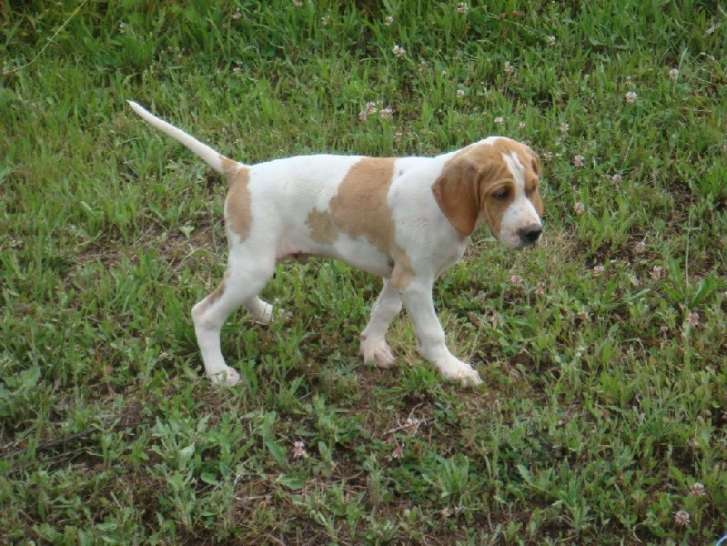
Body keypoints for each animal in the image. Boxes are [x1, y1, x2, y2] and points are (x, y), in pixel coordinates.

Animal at [128, 100, 544, 384]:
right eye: (501, 193)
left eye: (532, 188)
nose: (533, 233)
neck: (443, 204)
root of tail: (243, 172)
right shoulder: (415, 281)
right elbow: (432, 332)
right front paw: (453, 370)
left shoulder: (396, 276)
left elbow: (383, 312)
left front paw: (372, 348)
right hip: (253, 263)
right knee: (205, 313)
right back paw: (218, 373)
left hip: (254, 261)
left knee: (236, 293)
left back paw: (263, 313)